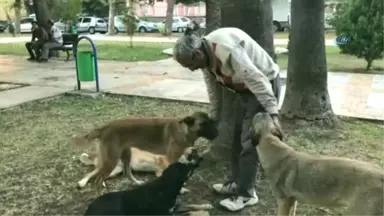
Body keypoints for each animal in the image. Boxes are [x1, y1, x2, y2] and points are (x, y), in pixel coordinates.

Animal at [71, 112, 218, 192]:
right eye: (204, 124)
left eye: (211, 122)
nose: (217, 133)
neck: (184, 130)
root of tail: (103, 128)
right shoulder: (170, 161)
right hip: (111, 161)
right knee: (96, 179)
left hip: (125, 156)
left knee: (126, 173)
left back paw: (137, 183)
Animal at [250, 111, 384, 216]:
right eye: (265, 116)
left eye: (255, 118)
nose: (263, 111)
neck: (271, 144)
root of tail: (381, 175)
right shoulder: (293, 201)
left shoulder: (283, 201)